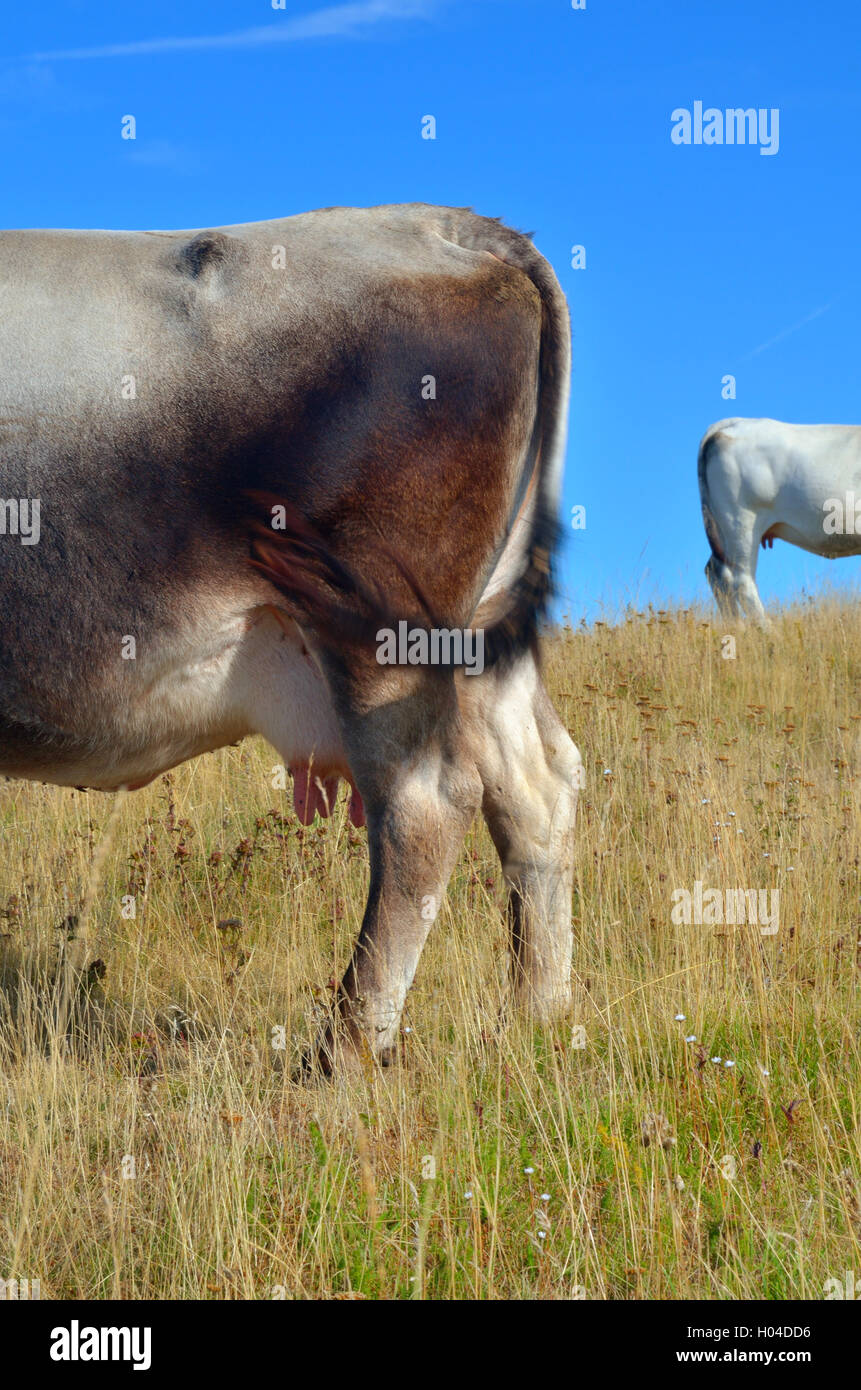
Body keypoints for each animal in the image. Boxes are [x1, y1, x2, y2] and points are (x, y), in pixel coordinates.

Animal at [0, 205, 581, 1067]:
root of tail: (438, 225)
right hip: (479, 641)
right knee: (535, 789)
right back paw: (533, 1018)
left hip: (381, 631)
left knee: (427, 803)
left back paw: (346, 1043)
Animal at [698, 414, 861, 617]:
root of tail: (734, 422)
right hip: (741, 522)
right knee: (741, 580)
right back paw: (764, 625)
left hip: (721, 530)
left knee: (716, 572)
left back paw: (736, 623)